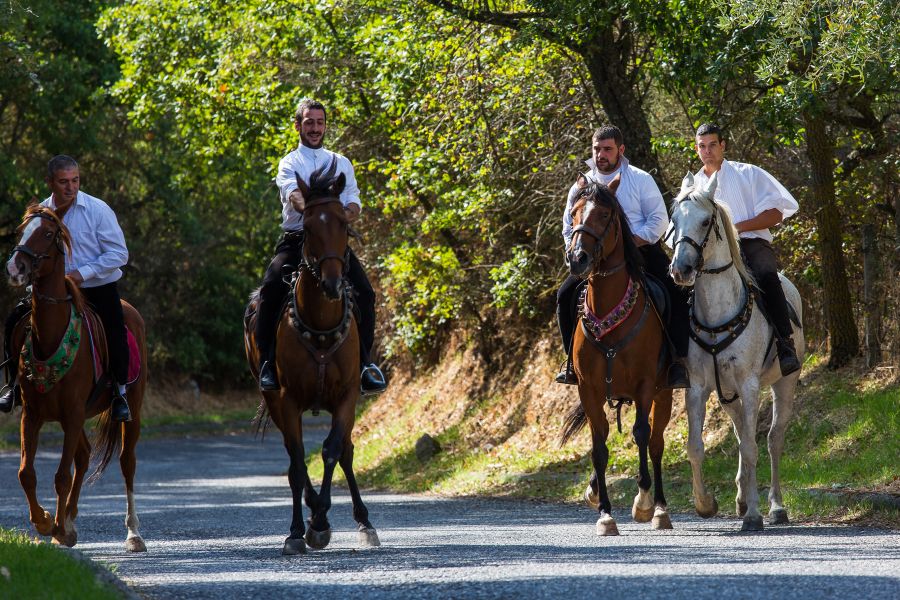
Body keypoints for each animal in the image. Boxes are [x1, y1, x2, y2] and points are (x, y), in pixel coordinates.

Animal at [5, 204, 148, 552]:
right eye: (21, 231)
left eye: (47, 234)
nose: (16, 266)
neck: (52, 337)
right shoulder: (33, 415)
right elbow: (26, 473)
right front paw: (48, 522)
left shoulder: (70, 415)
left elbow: (61, 476)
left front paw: (53, 525)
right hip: (79, 416)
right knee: (82, 457)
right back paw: (68, 523)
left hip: (131, 412)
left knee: (127, 463)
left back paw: (133, 534)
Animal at [243, 162, 380, 556]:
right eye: (306, 227)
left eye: (343, 223)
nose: (333, 283)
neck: (319, 324)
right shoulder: (287, 400)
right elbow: (296, 460)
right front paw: (299, 529)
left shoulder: (347, 397)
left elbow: (333, 451)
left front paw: (320, 521)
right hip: (273, 400)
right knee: (294, 457)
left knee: (345, 452)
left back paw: (363, 522)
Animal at [560, 177, 672, 536]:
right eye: (574, 212)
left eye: (605, 214)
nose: (578, 258)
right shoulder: (589, 389)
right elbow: (599, 446)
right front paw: (604, 512)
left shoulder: (645, 385)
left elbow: (641, 435)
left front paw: (644, 501)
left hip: (665, 392)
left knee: (656, 443)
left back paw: (660, 508)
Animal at [668, 171, 808, 532]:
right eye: (674, 219)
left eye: (705, 221)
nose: (680, 270)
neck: (718, 312)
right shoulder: (698, 387)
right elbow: (696, 447)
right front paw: (705, 504)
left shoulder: (749, 384)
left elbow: (752, 447)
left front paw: (755, 516)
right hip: (727, 394)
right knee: (740, 433)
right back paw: (743, 499)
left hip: (784, 383)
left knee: (772, 440)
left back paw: (775, 507)